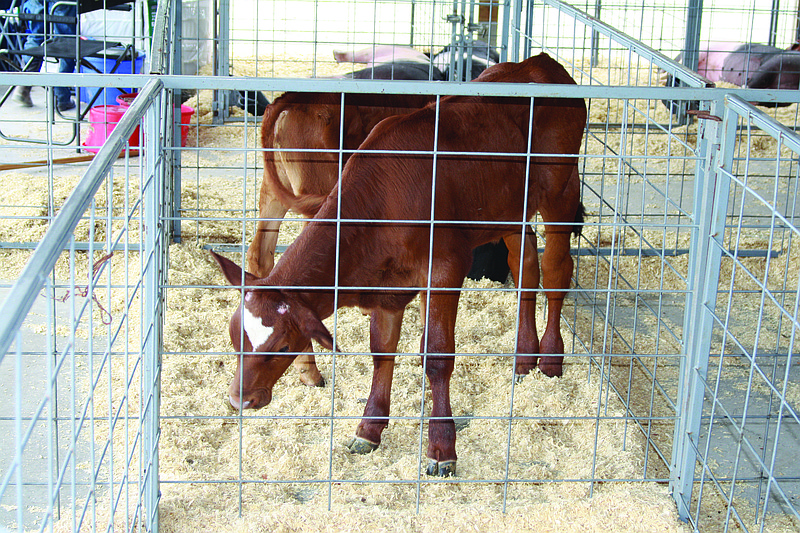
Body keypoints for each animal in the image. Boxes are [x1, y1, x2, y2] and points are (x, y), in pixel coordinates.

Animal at [214, 54, 588, 476]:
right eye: (235, 338)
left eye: (282, 346)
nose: (239, 400)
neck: (383, 200)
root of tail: (541, 62)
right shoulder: (387, 284)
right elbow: (382, 350)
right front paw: (369, 428)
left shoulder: (446, 269)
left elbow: (437, 356)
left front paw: (441, 448)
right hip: (508, 208)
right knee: (525, 264)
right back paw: (524, 359)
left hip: (560, 190)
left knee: (556, 268)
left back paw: (551, 359)